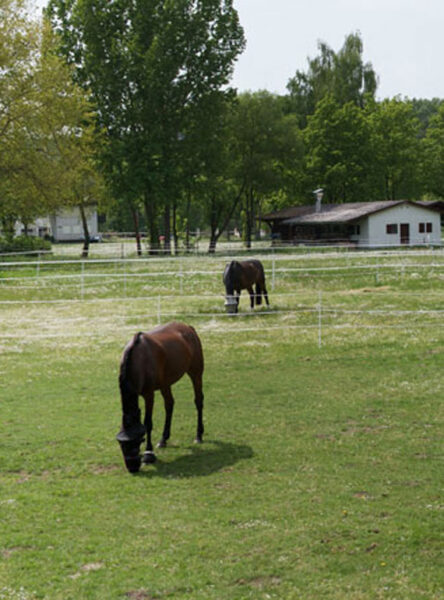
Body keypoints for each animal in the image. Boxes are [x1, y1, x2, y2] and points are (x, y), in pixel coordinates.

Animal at [114, 322, 205, 472]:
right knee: (169, 404)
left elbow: (148, 423)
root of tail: (188, 327)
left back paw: (199, 435)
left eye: (136, 442)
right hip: (165, 383)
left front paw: (148, 454)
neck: (139, 358)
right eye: (122, 445)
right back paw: (163, 439)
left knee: (198, 401)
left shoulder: (149, 394)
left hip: (196, 373)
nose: (132, 468)